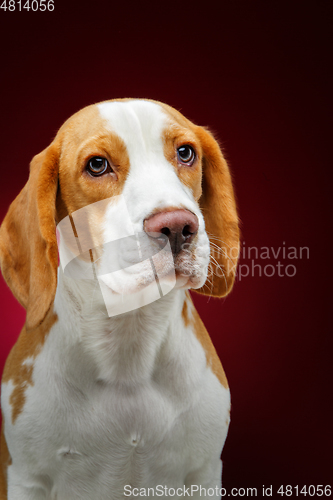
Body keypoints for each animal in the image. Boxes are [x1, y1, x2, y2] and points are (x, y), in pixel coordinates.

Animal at [0, 99, 239, 498]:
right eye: (97, 164)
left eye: (186, 153)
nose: (177, 226)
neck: (130, 336)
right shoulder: (25, 478)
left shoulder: (204, 474)